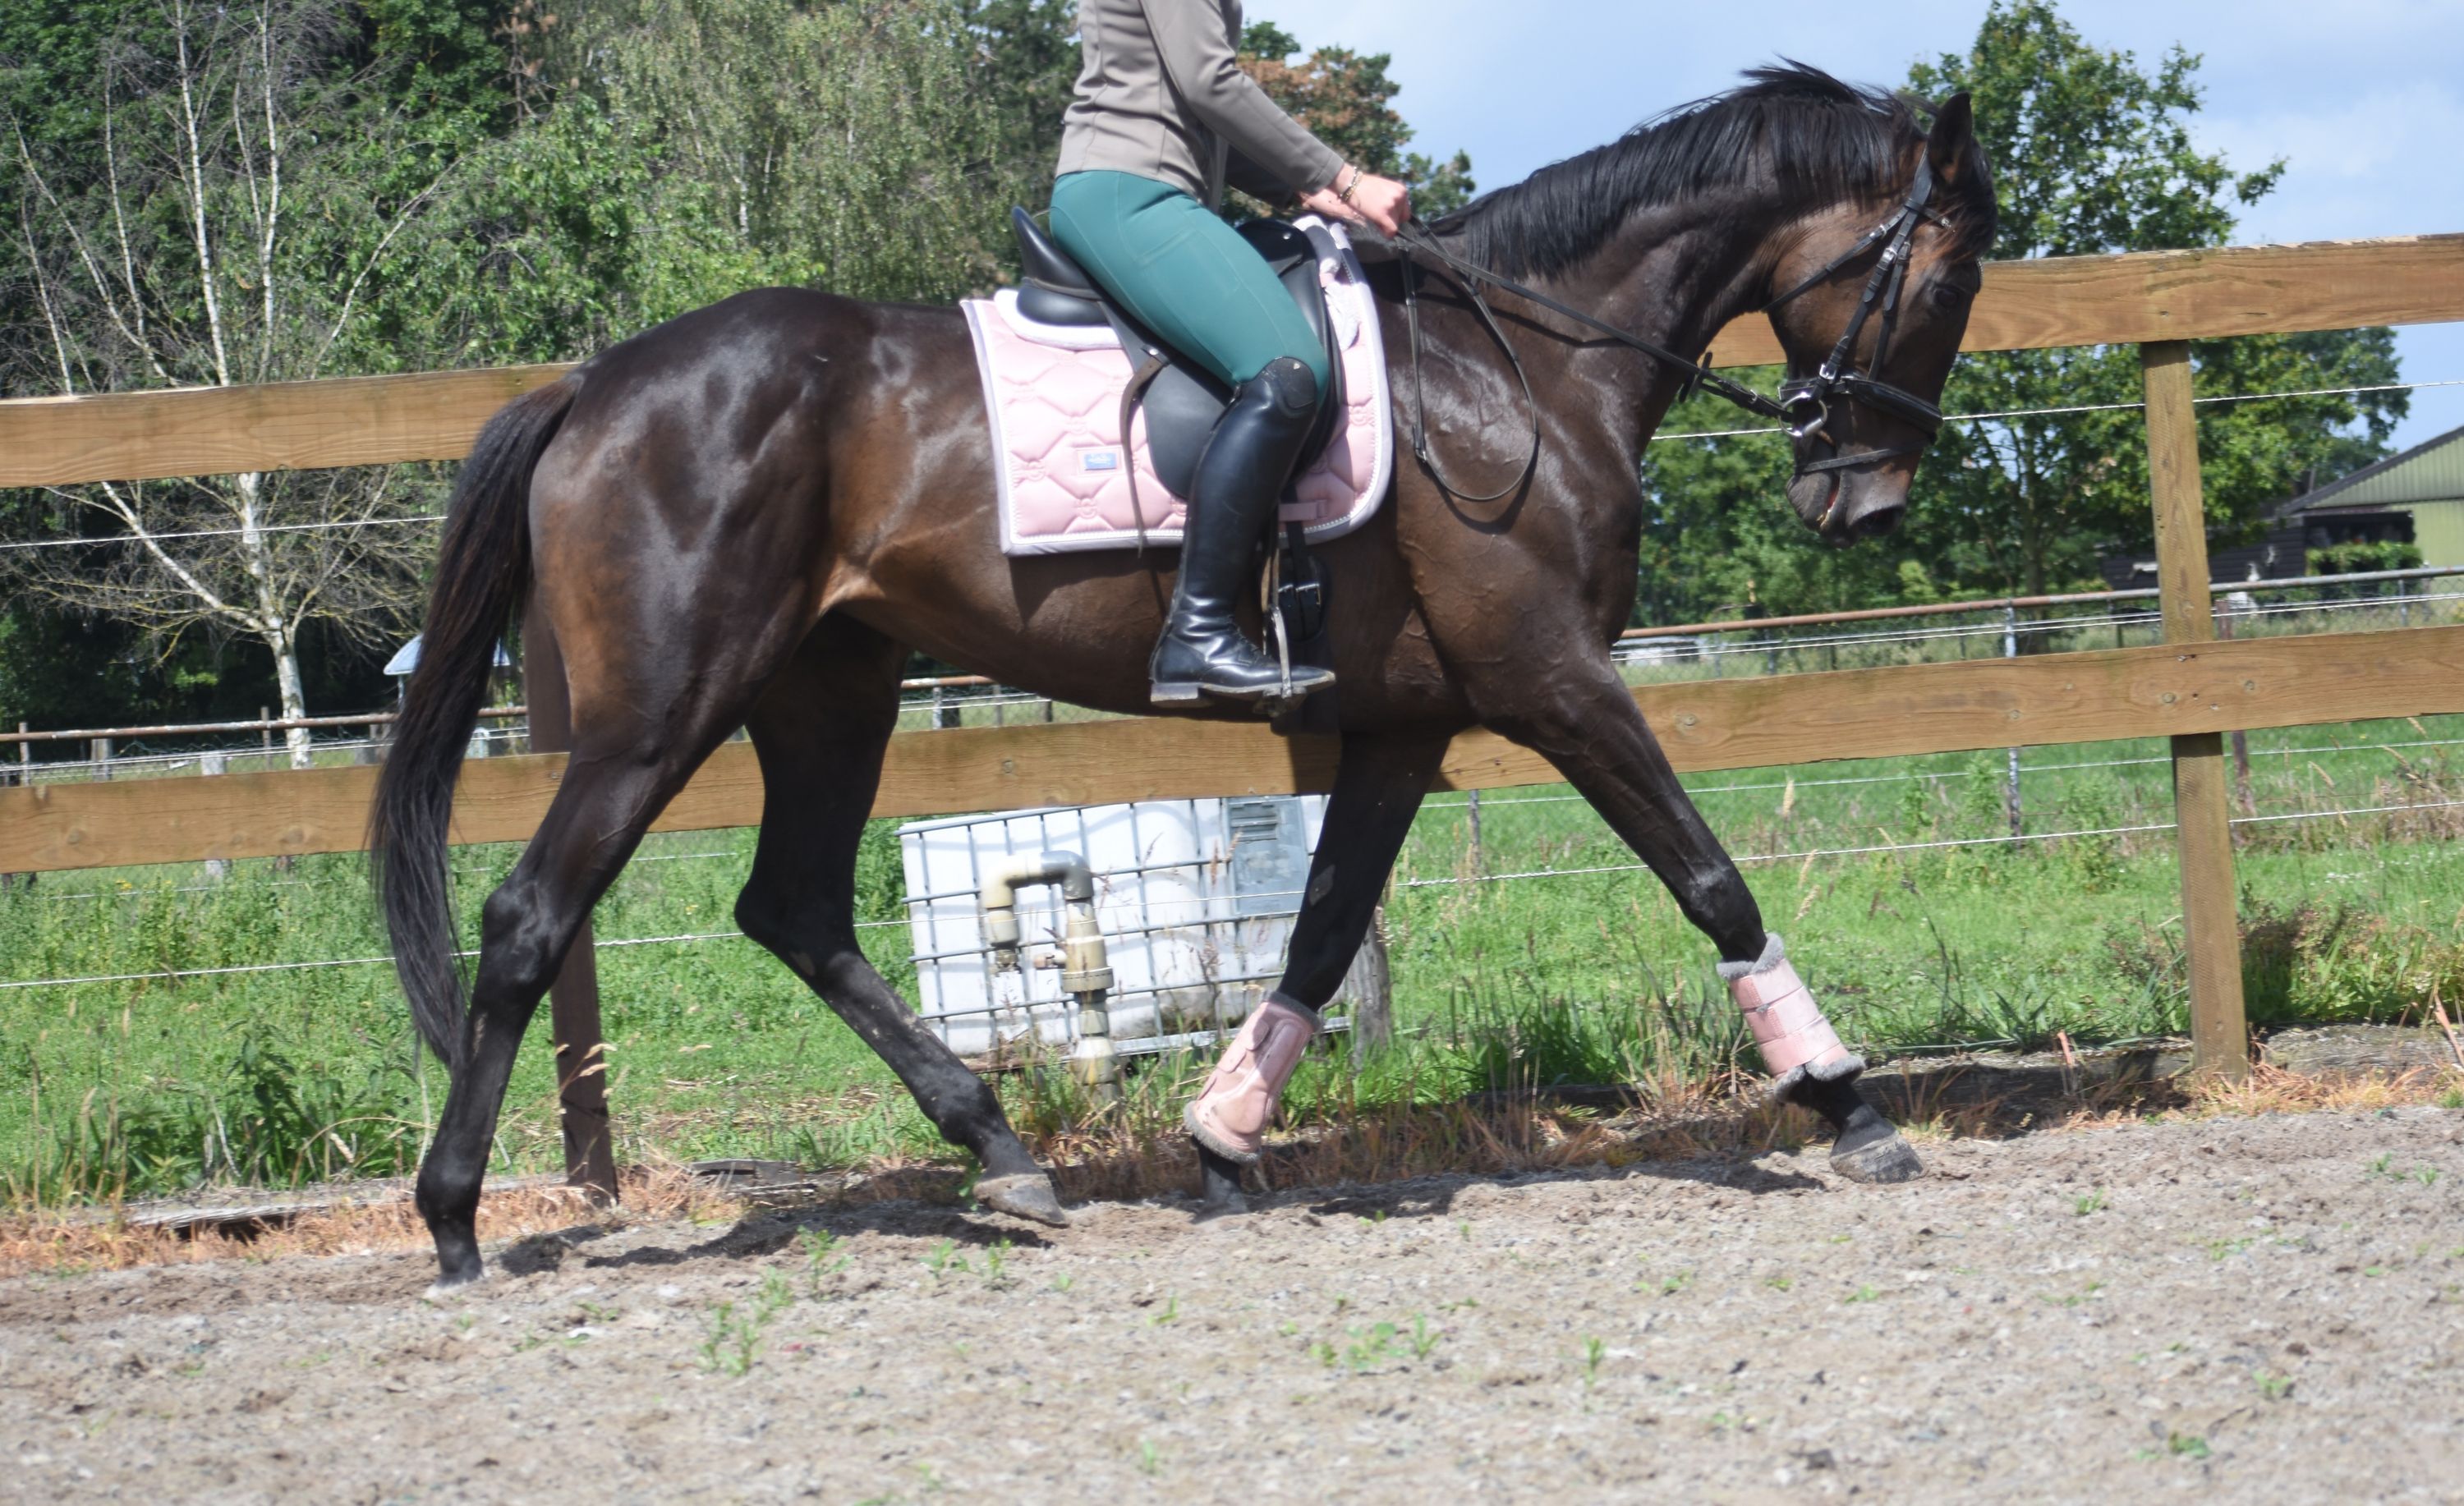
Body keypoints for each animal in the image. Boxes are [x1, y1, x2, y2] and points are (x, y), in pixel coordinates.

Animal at [375, 64, 1997, 1288]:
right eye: (1952, 273)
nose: (1866, 501)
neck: (1518, 365)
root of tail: (595, 382)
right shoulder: (1553, 676)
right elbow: (1708, 875)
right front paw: (1845, 1098)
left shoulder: (1405, 719)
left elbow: (1323, 931)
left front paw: (1221, 1140)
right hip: (665, 708)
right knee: (531, 916)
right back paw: (454, 1218)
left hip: (829, 688)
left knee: (795, 906)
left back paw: (1004, 1154)